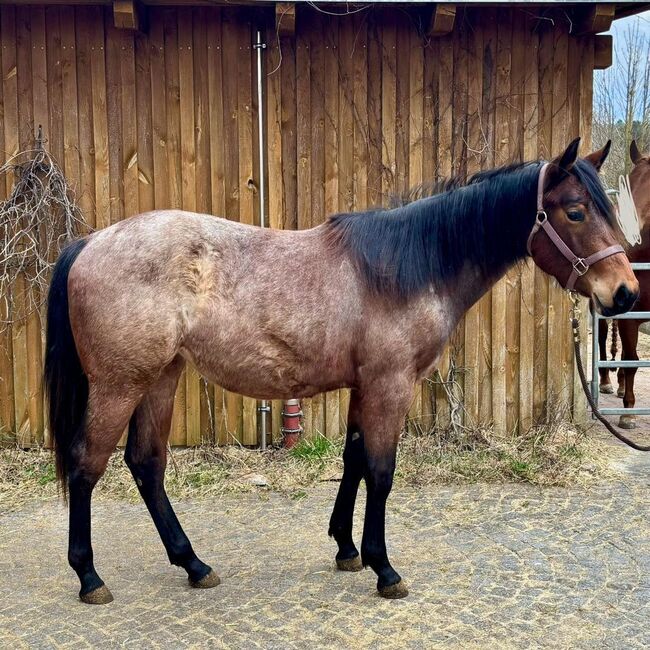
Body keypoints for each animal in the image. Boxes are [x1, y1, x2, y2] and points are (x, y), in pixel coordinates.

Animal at [45, 138, 636, 604]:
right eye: (575, 211)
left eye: (606, 209)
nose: (625, 292)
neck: (404, 266)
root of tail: (89, 243)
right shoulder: (389, 384)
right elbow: (380, 470)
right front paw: (383, 567)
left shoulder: (363, 386)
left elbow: (353, 460)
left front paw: (347, 549)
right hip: (120, 385)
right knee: (86, 465)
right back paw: (90, 576)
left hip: (160, 379)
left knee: (146, 465)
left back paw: (193, 564)